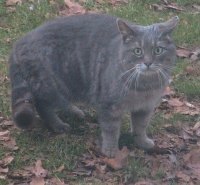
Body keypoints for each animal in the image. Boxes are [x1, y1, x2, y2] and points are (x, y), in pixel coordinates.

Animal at [8, 13, 179, 157]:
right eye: (138, 51)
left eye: (158, 50)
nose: (148, 63)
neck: (145, 87)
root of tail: (19, 42)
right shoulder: (109, 106)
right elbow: (111, 130)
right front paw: (110, 150)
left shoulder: (145, 108)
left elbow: (140, 127)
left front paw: (142, 142)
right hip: (51, 86)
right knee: (43, 107)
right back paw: (58, 124)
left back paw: (75, 112)